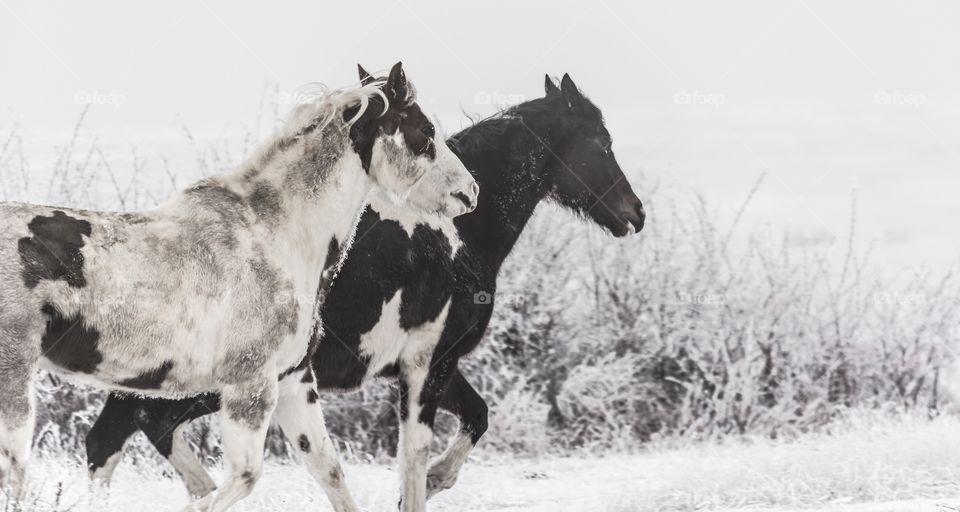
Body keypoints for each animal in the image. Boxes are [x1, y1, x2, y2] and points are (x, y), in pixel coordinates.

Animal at [0, 62, 478, 512]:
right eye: (425, 131)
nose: (470, 192)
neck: (274, 237)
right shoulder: (249, 385)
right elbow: (244, 478)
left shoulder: (294, 382)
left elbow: (330, 471)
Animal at [84, 70, 645, 511]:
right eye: (602, 142)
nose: (635, 214)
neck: (457, 237)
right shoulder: (430, 364)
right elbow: (422, 453)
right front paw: (431, 482)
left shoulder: (429, 364)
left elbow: (476, 417)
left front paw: (436, 480)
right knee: (122, 433)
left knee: (129, 431)